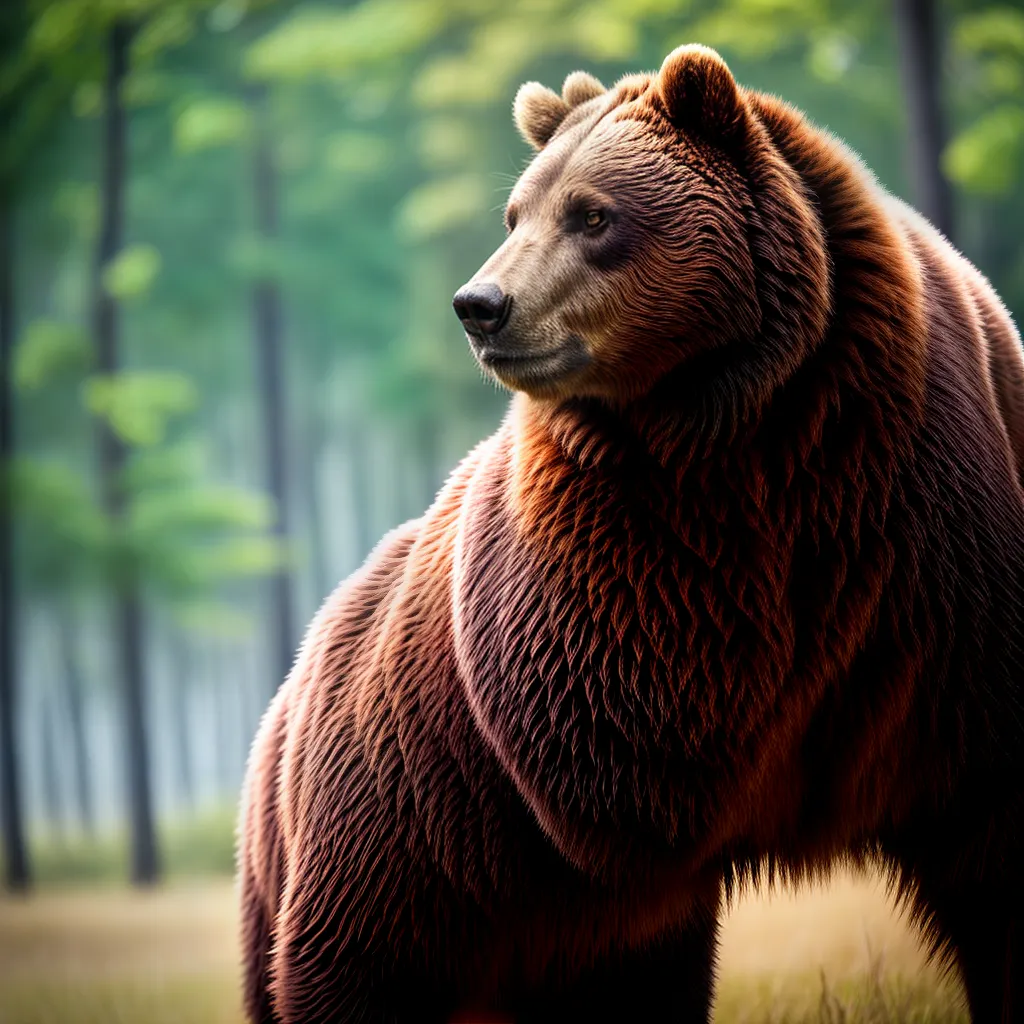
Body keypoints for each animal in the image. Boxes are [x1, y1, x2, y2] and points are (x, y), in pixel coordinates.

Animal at [238, 44, 1024, 1023]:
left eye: (592, 214)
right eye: (516, 211)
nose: (480, 304)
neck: (742, 413)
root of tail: (303, 659)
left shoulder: (931, 537)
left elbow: (988, 844)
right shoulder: (602, 567)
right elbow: (617, 733)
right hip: (397, 824)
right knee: (355, 971)